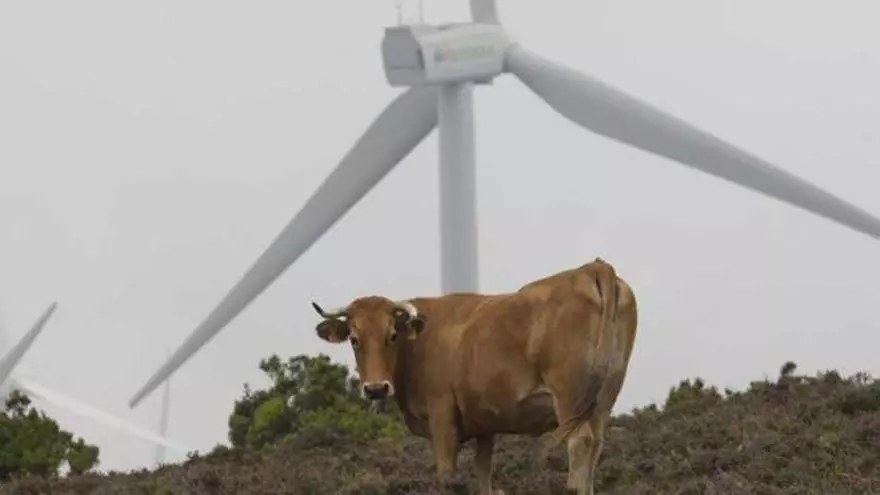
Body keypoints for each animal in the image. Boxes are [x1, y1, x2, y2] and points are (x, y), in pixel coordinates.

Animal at [310, 257, 638, 495]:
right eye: (354, 340)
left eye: (392, 335)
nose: (376, 389)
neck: (418, 339)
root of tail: (592, 268)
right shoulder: (484, 426)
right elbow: (483, 478)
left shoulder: (442, 418)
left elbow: (447, 476)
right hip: (601, 403)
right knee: (595, 448)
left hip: (569, 400)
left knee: (580, 444)